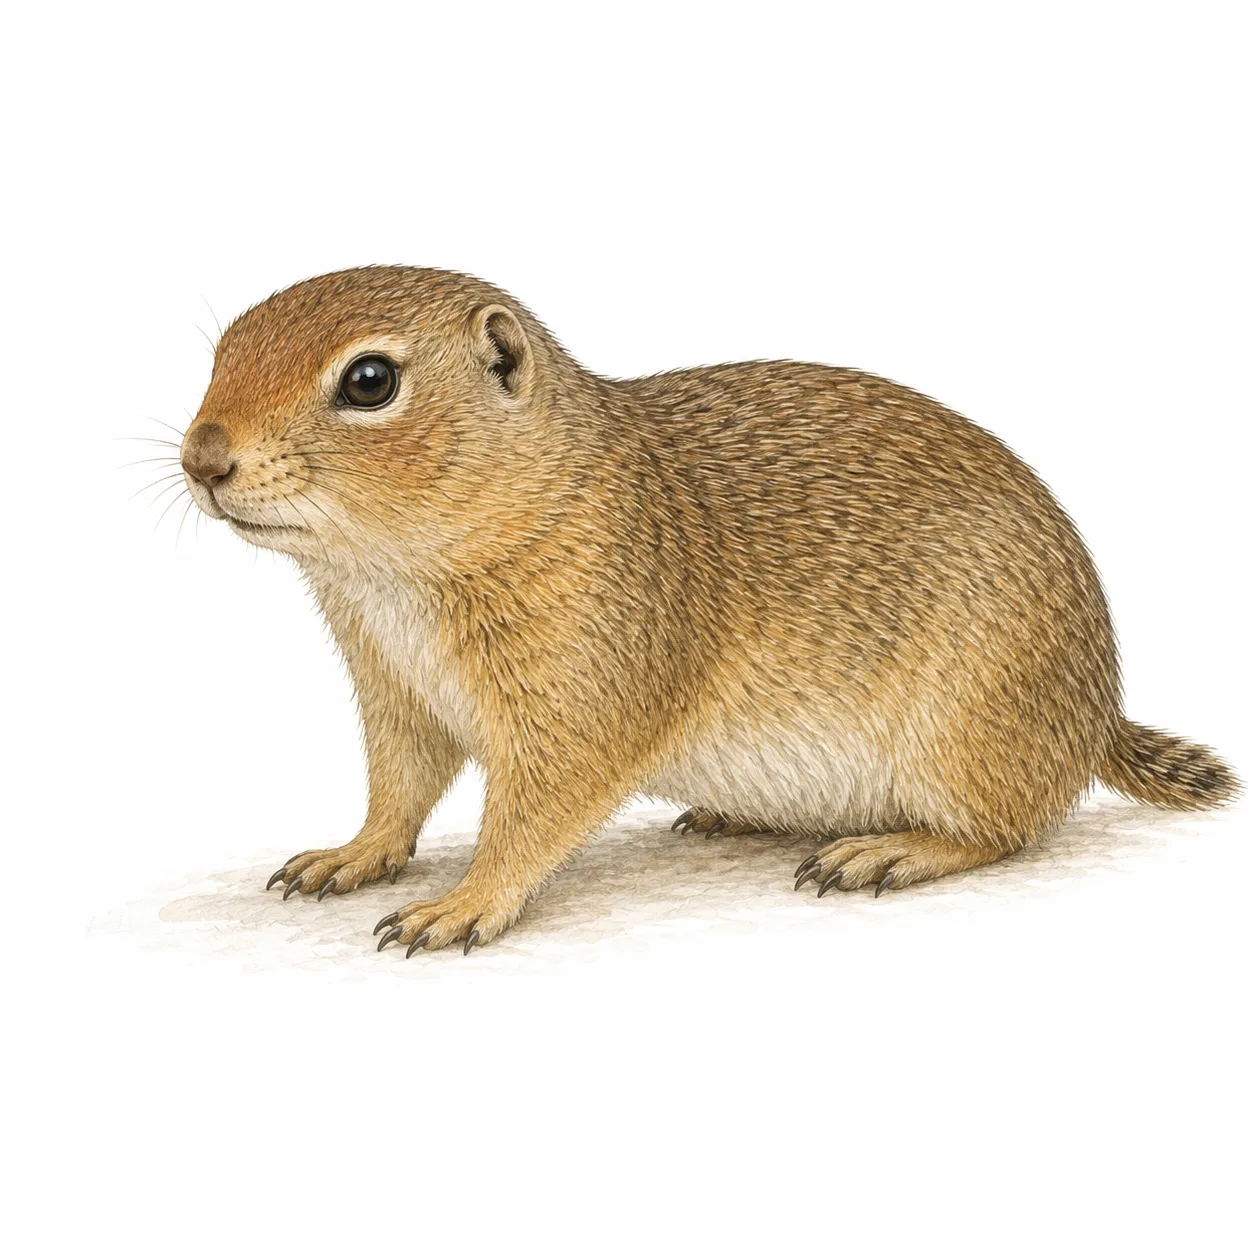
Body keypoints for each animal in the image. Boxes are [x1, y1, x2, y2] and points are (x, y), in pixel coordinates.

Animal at [178, 266, 1240, 954]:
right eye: (223, 349)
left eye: (370, 380)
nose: (201, 457)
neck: (392, 580)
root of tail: (1095, 717)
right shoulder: (394, 690)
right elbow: (396, 787)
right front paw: (345, 857)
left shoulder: (585, 684)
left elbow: (532, 812)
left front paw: (458, 907)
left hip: (968, 729)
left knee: (1006, 829)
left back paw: (885, 851)